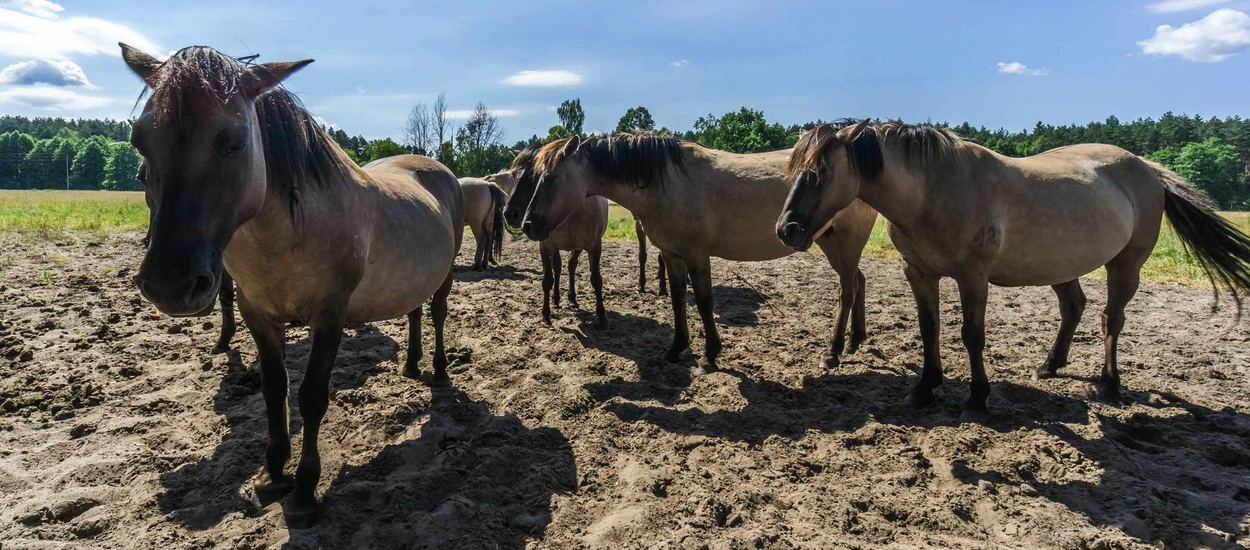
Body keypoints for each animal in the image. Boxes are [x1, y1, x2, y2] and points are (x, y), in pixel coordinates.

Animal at [120, 45, 465, 527]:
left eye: (236, 142)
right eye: (140, 141)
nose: (170, 284)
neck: (285, 236)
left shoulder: (330, 318)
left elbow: (311, 397)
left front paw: (303, 489)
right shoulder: (259, 317)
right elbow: (274, 391)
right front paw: (272, 474)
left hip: (445, 276)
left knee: (435, 314)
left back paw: (437, 369)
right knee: (413, 310)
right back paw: (412, 365)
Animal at [502, 143, 610, 327]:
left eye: (536, 176)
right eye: (514, 174)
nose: (510, 214)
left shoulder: (594, 246)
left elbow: (596, 279)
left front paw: (601, 316)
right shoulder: (546, 246)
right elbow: (547, 279)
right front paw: (546, 313)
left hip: (577, 247)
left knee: (571, 266)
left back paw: (572, 297)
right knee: (558, 267)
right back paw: (557, 297)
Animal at [517, 135, 880, 372]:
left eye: (550, 177)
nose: (527, 224)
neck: (666, 182)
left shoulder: (696, 254)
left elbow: (704, 302)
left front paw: (710, 355)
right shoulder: (672, 254)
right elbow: (679, 300)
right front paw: (677, 348)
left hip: (845, 243)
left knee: (847, 290)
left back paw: (833, 352)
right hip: (832, 243)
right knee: (859, 281)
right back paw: (855, 340)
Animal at [775, 119, 1250, 412]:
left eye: (819, 172)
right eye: (794, 170)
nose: (787, 229)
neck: (933, 190)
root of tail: (1146, 168)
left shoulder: (973, 277)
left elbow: (971, 335)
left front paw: (977, 397)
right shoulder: (919, 273)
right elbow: (930, 329)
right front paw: (925, 387)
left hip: (1126, 265)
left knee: (1110, 319)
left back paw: (1109, 384)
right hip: (1061, 265)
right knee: (1074, 307)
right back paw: (1050, 365)